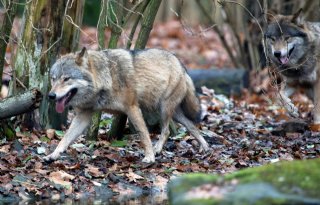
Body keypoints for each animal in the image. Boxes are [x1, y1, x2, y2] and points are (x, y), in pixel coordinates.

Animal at [44, 47, 210, 163]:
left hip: (164, 109)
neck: (106, 78)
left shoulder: (132, 108)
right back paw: (205, 147)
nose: (51, 96)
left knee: (167, 131)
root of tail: (181, 65)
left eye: (66, 79)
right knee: (191, 126)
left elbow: (143, 134)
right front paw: (53, 155)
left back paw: (157, 149)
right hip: (172, 113)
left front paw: (149, 157)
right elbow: (65, 138)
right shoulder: (83, 116)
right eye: (53, 79)